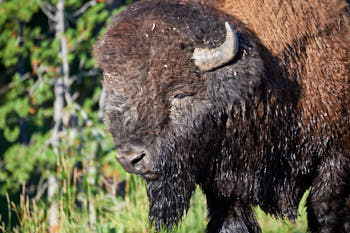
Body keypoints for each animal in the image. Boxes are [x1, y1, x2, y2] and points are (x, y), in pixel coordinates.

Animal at [93, 0, 350, 231]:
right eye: (118, 93)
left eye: (180, 94)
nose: (131, 159)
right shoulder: (223, 186)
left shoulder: (336, 162)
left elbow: (325, 215)